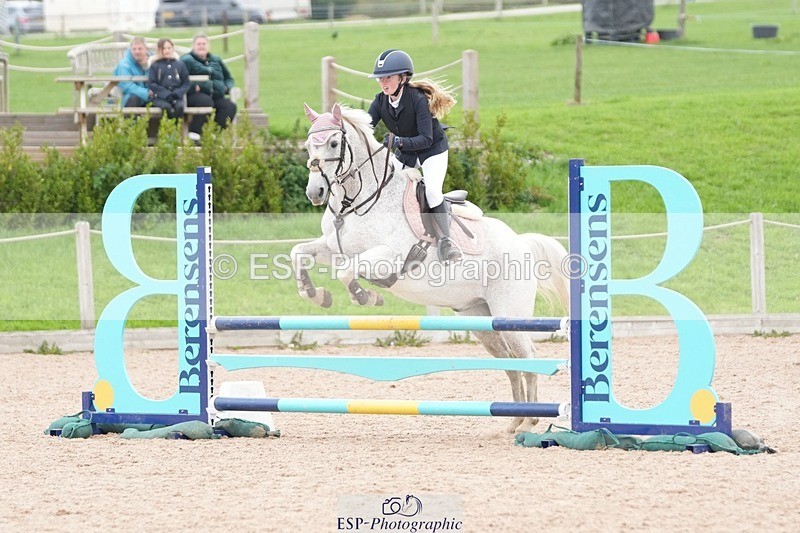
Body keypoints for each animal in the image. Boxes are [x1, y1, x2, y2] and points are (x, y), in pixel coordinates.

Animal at [291, 103, 570, 433]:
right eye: (308, 145)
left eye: (334, 143)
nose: (316, 193)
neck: (359, 200)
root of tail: (521, 243)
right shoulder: (335, 249)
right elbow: (299, 254)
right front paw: (316, 294)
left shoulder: (387, 256)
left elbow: (347, 273)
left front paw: (367, 297)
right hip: (480, 319)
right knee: (510, 362)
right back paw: (514, 422)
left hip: (510, 315)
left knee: (527, 357)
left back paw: (529, 422)